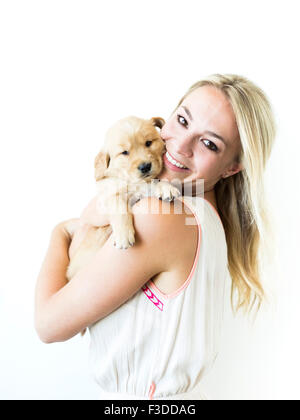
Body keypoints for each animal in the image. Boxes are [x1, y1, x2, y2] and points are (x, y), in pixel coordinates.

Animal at [67, 116, 180, 282]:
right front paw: (124, 235)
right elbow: (120, 208)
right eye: (124, 152)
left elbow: (153, 182)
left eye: (148, 143)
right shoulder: (108, 195)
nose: (145, 167)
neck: (132, 181)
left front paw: (165, 187)